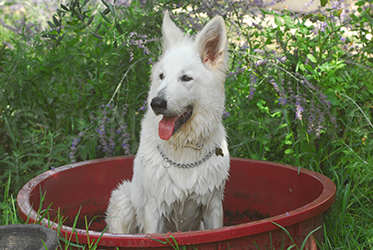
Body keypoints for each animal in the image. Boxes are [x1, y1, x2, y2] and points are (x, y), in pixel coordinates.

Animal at [104, 11, 230, 234]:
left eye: (186, 78)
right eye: (161, 76)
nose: (156, 103)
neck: (184, 147)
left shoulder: (213, 206)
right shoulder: (154, 209)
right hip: (123, 200)